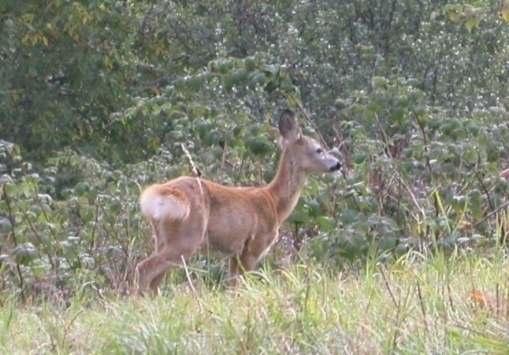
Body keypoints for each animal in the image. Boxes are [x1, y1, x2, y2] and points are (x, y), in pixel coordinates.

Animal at [135, 110, 342, 294]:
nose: (338, 164)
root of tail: (161, 194)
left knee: (154, 280)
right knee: (143, 269)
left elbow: (232, 285)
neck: (275, 203)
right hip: (187, 237)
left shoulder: (235, 252)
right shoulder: (254, 245)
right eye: (319, 150)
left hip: (162, 238)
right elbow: (242, 285)